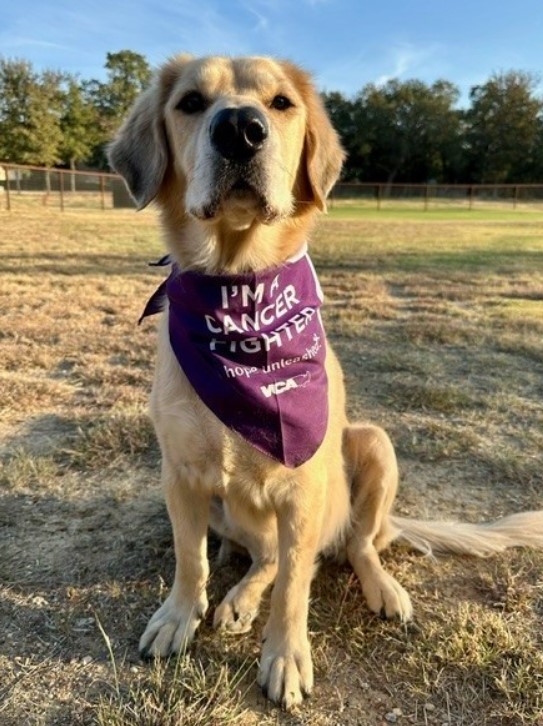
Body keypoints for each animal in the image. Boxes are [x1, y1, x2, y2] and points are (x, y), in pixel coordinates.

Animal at [108, 55, 543, 712]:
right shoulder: (179, 475)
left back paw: (378, 589)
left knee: (348, 549)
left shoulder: (302, 487)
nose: (240, 129)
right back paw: (237, 601)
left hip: (373, 446)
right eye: (189, 103)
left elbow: (294, 587)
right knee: (263, 558)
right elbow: (191, 560)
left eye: (282, 103)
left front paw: (285, 657)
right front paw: (179, 617)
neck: (240, 289)